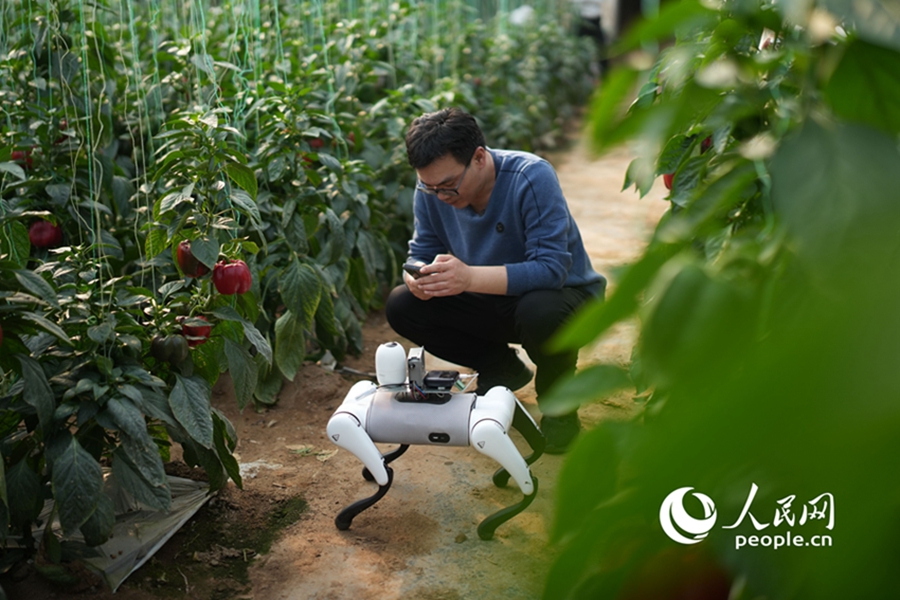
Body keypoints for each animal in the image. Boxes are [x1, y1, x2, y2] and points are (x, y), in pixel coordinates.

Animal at [326, 342, 544, 540]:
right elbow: (388, 469)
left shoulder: (345, 425)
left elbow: (385, 477)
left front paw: (345, 519)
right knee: (536, 442)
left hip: (485, 431)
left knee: (528, 481)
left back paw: (493, 522)